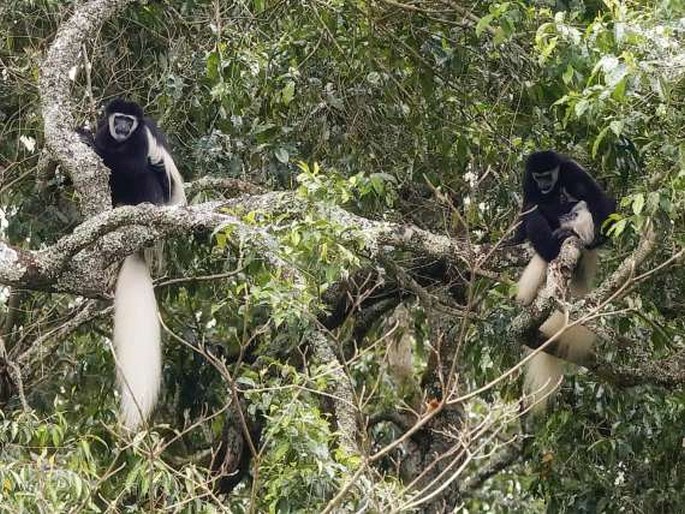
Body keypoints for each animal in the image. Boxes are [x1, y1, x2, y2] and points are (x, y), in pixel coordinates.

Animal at [510, 149, 616, 408]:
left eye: (548, 175)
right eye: (538, 177)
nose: (545, 185)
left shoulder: (571, 171)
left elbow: (599, 198)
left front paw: (600, 236)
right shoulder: (528, 180)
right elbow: (528, 206)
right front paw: (515, 239)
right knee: (534, 209)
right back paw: (549, 245)